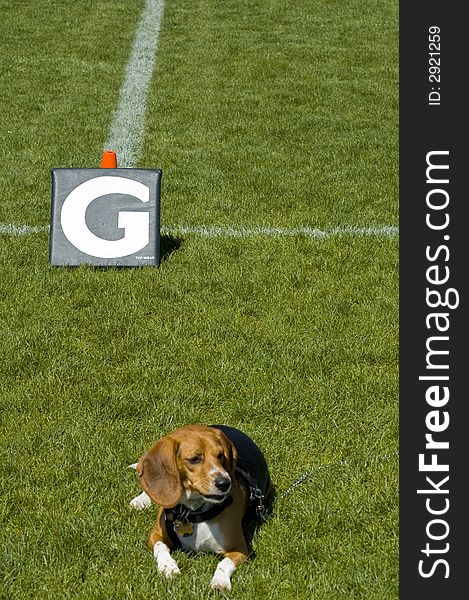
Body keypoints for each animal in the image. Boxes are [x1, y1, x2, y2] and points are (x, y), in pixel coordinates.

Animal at [130, 424, 272, 592]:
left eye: (221, 455)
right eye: (194, 459)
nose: (225, 483)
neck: (191, 512)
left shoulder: (239, 548)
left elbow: (224, 563)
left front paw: (220, 581)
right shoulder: (155, 535)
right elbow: (161, 549)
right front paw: (168, 567)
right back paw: (141, 500)